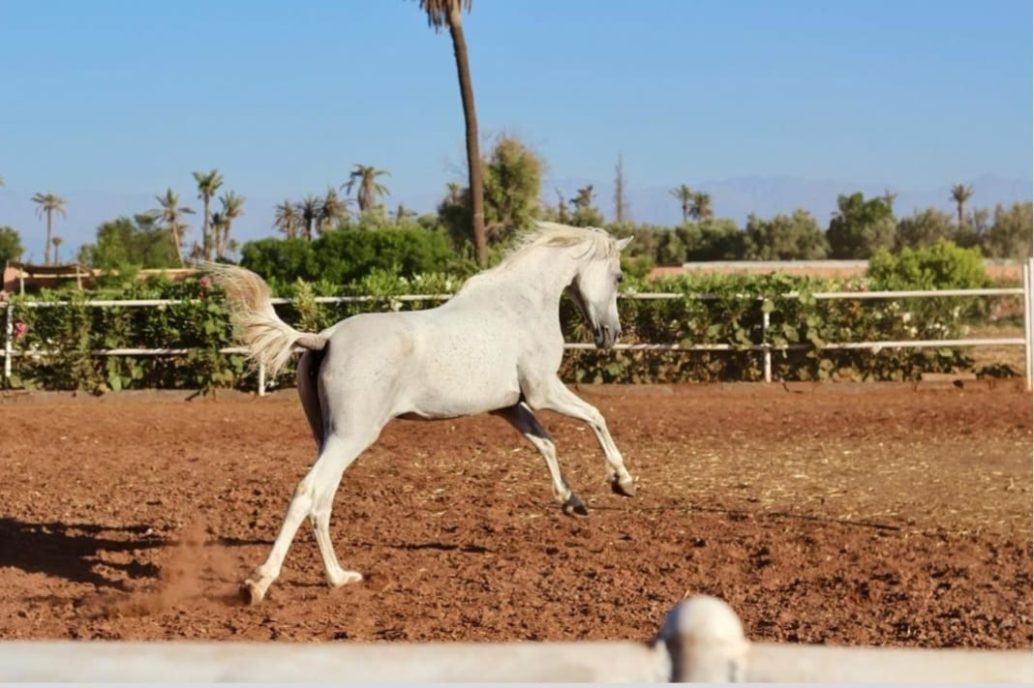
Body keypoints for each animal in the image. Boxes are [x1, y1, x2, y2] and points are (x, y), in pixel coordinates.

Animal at [210, 222, 637, 604]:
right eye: (618, 276)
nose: (611, 335)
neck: (519, 306)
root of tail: (323, 338)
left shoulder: (509, 406)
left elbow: (545, 442)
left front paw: (572, 501)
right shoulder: (543, 391)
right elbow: (595, 416)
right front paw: (623, 482)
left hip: (329, 438)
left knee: (322, 502)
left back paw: (339, 577)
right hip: (351, 436)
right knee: (308, 492)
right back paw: (259, 584)